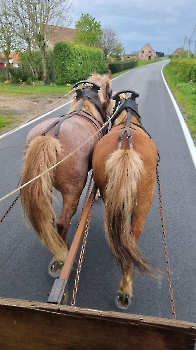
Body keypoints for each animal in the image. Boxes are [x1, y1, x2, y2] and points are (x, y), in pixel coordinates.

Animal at [20, 72, 112, 274]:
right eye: (109, 89)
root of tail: (49, 138)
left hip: (42, 188)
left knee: (49, 218)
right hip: (73, 190)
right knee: (63, 221)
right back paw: (63, 254)